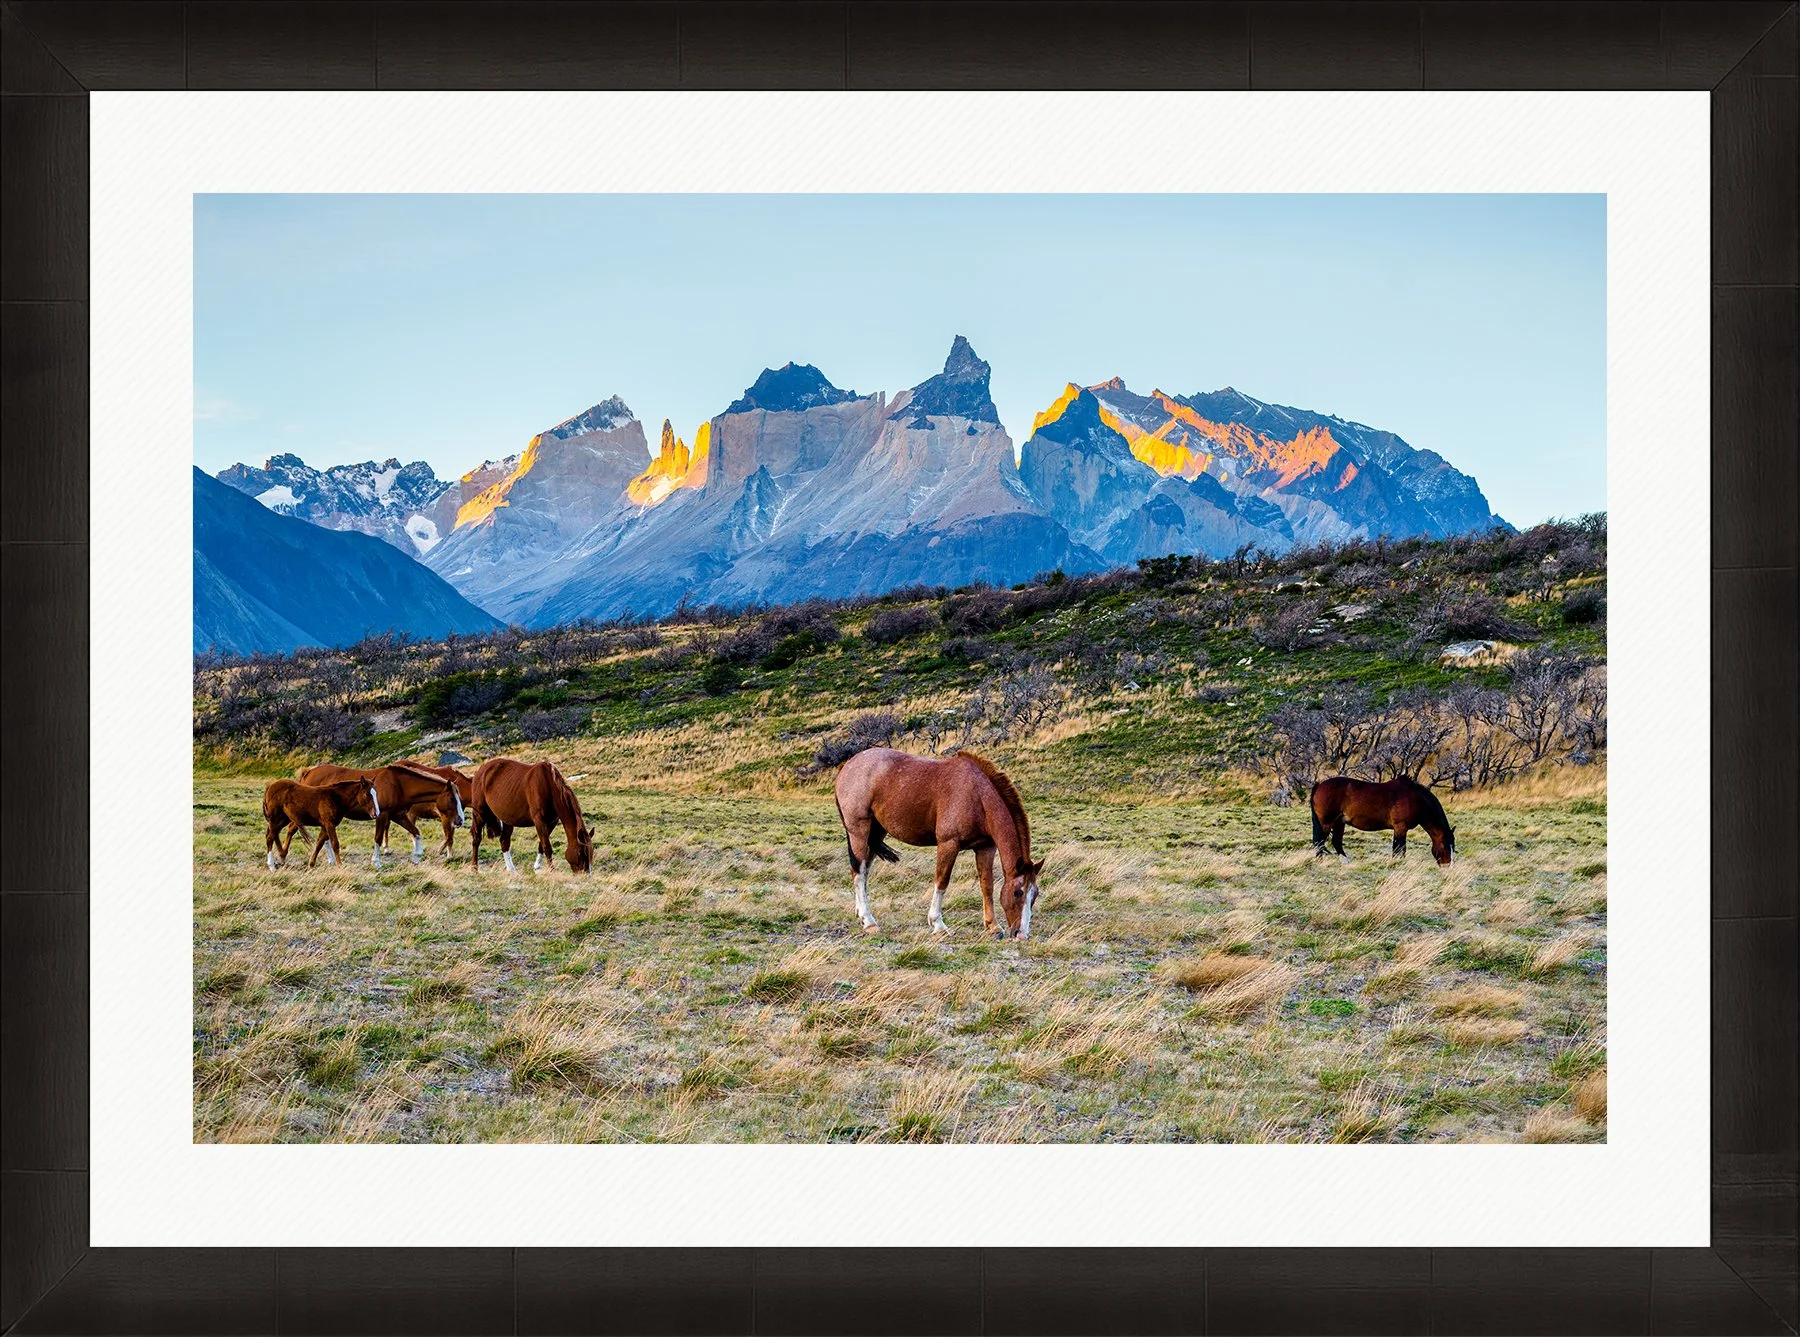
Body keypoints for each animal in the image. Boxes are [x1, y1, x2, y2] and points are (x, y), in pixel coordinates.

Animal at [299, 762, 459, 867]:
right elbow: (378, 838)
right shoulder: (382, 816)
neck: (398, 785)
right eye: (452, 798)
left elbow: (416, 832)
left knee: (324, 838)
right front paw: (376, 861)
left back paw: (330, 860)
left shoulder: (399, 816)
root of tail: (309, 771)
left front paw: (417, 856)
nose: (460, 820)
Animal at [833, 748, 1044, 939]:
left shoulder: (985, 847)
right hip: (859, 832)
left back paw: (862, 915)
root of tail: (848, 766)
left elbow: (987, 885)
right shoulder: (948, 844)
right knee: (859, 873)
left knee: (864, 871)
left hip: (876, 832)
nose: (1021, 935)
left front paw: (993, 926)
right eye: (1018, 892)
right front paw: (938, 924)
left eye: (1034, 895)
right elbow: (942, 881)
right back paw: (869, 922)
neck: (977, 795)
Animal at [1310, 775, 1456, 865]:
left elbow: (1397, 848)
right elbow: (1399, 849)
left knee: (1335, 841)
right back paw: (1321, 862)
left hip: (1339, 822)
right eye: (1445, 846)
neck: (1416, 799)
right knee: (1320, 842)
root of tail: (1319, 785)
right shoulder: (1400, 828)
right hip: (1327, 823)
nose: (1448, 866)